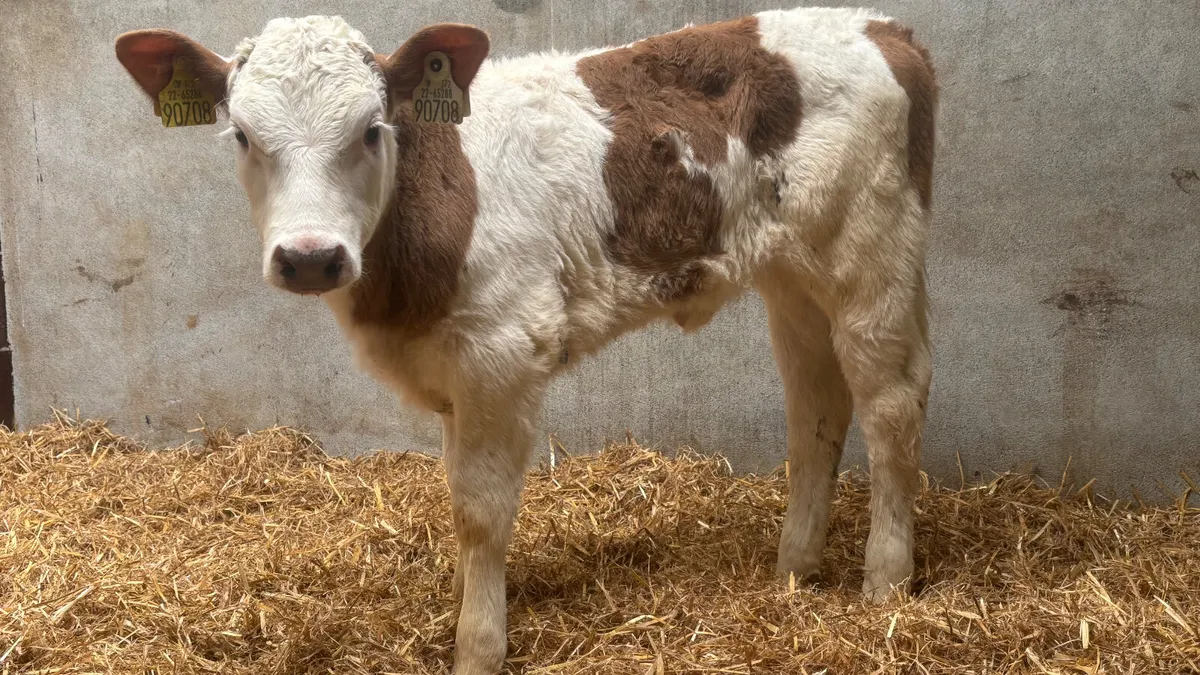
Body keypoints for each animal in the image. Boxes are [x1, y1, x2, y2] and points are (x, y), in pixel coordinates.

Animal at [115, 6, 937, 673]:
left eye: (372, 130)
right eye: (243, 137)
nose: (311, 256)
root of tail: (885, 27)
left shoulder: (501, 353)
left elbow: (479, 509)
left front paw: (478, 644)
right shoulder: (452, 373)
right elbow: (456, 494)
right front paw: (464, 598)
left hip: (875, 254)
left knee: (891, 403)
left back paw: (886, 581)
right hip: (792, 276)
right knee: (818, 405)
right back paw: (795, 569)